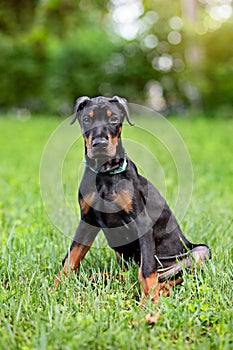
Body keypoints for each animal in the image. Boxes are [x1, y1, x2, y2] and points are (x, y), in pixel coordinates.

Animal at [54, 96, 211, 304]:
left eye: (114, 119)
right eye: (87, 119)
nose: (99, 144)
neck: (105, 174)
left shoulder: (141, 221)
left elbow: (146, 271)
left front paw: (149, 303)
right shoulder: (87, 220)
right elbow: (70, 258)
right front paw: (54, 290)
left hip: (199, 252)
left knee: (172, 276)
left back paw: (161, 290)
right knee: (125, 275)